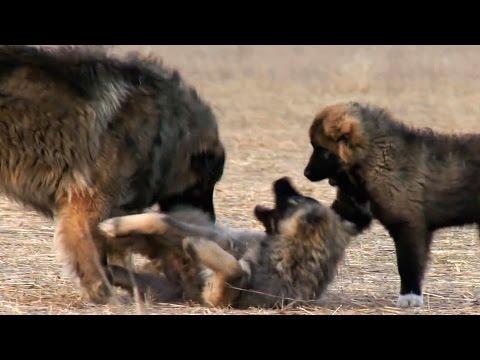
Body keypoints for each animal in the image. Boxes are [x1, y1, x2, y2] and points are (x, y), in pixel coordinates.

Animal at [0, 45, 226, 304]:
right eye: (203, 185)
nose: (211, 221)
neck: (162, 133)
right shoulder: (89, 204)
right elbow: (93, 254)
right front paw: (101, 290)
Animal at [100, 177, 372, 310]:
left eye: (295, 199)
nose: (282, 178)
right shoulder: (215, 238)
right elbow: (162, 221)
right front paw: (113, 225)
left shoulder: (217, 298)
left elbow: (235, 270)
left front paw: (199, 248)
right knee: (158, 224)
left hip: (162, 285)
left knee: (129, 269)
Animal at [306, 101, 480, 306]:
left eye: (323, 151)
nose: (306, 173)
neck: (377, 157)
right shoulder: (352, 209)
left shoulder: (409, 226)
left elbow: (408, 264)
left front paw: (409, 296)